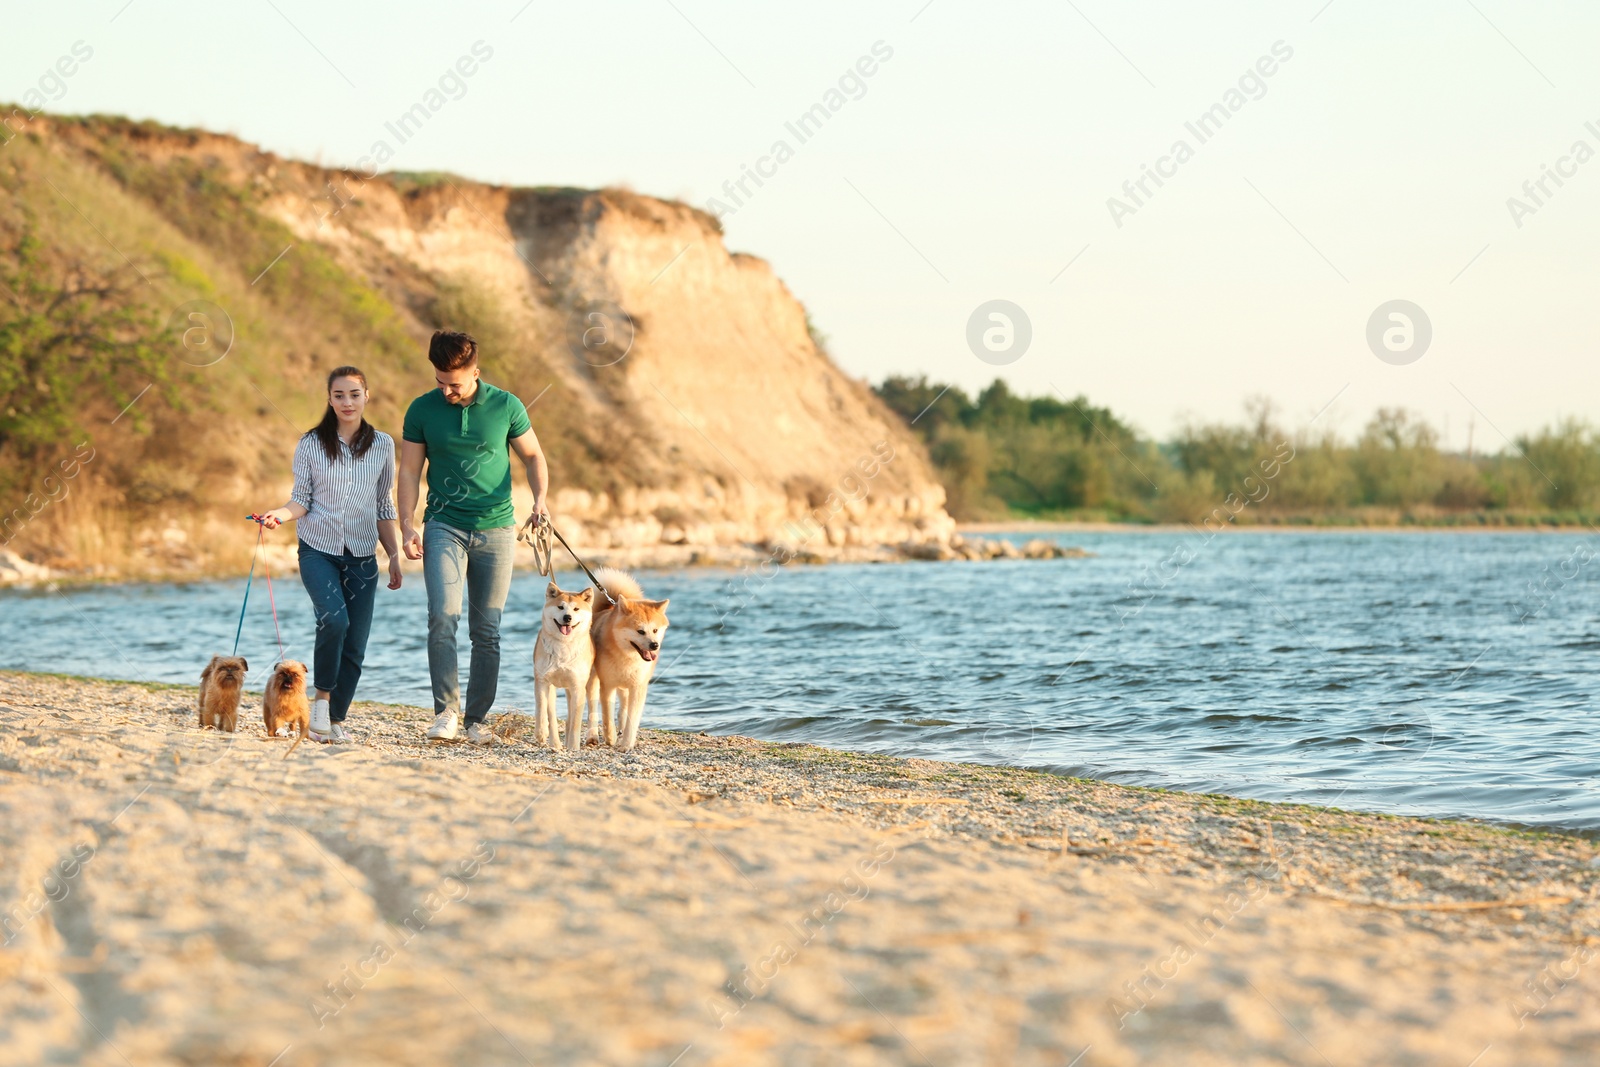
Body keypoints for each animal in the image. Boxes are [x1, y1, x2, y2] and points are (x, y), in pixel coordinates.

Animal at [534, 585, 598, 751]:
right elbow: (542, 708)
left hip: (589, 686)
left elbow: (576, 722)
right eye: (560, 607)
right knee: (552, 715)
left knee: (589, 711)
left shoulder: (577, 687)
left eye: (576, 609)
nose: (567, 617)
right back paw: (555, 743)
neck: (563, 645)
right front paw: (541, 732)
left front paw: (574, 747)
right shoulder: (542, 681)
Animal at [585, 566, 665, 751]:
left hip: (626, 687)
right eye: (640, 631)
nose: (654, 645)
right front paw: (611, 737)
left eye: (655, 630)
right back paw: (593, 736)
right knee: (593, 709)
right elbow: (607, 716)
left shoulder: (638, 686)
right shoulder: (607, 685)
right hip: (593, 680)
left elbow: (632, 719)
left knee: (623, 709)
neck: (627, 656)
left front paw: (627, 744)